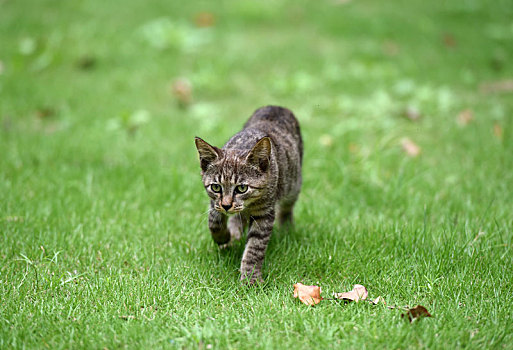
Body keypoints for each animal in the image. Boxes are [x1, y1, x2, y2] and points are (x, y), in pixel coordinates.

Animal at [194, 105, 302, 284]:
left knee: (287, 208)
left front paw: (251, 278)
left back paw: (286, 228)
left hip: (293, 185)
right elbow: (214, 221)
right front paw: (223, 237)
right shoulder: (214, 203)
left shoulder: (264, 213)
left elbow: (254, 247)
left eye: (242, 188)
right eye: (216, 187)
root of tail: (276, 106)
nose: (226, 205)